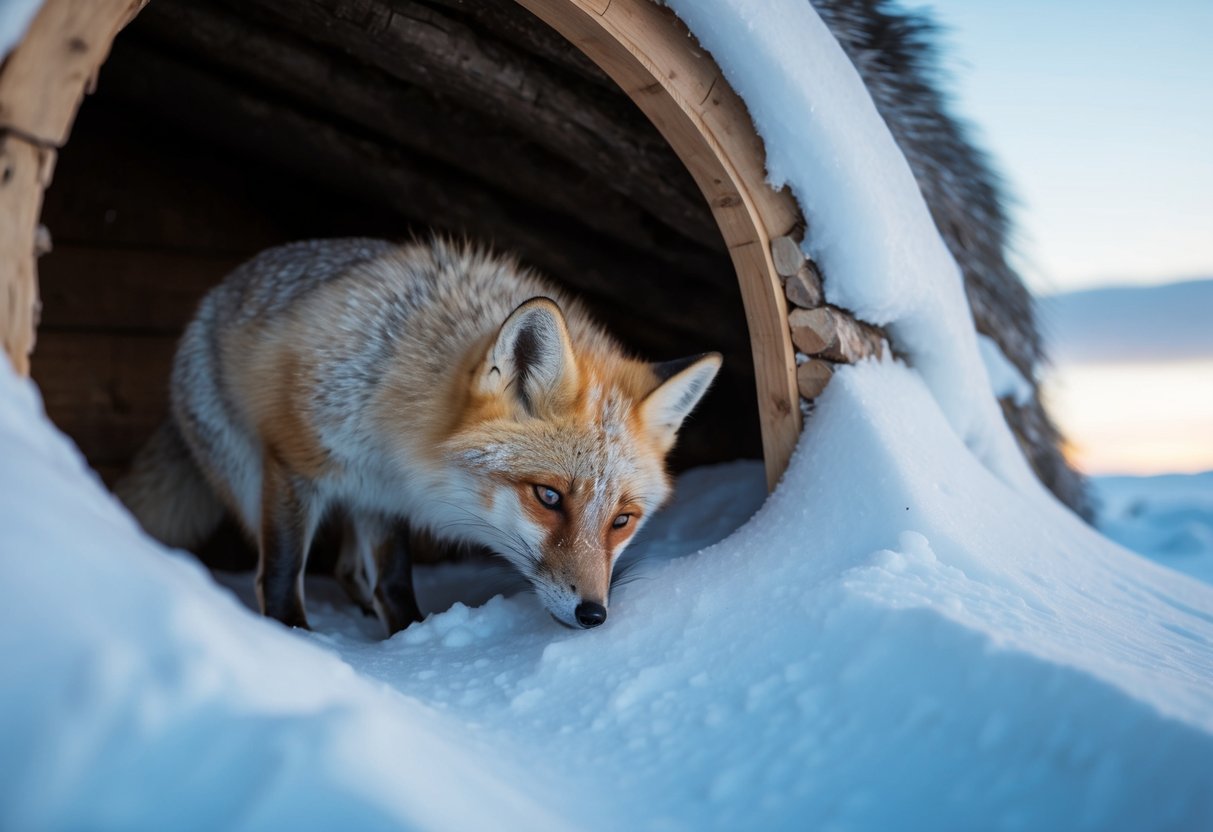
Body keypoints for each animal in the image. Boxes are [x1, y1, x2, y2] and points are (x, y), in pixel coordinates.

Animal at [116, 238, 721, 633]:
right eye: (548, 497)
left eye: (623, 520)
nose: (594, 614)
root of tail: (220, 290)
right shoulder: (297, 463)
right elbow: (283, 573)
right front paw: (293, 640)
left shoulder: (385, 495)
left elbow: (395, 579)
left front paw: (408, 636)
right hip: (247, 477)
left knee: (348, 565)